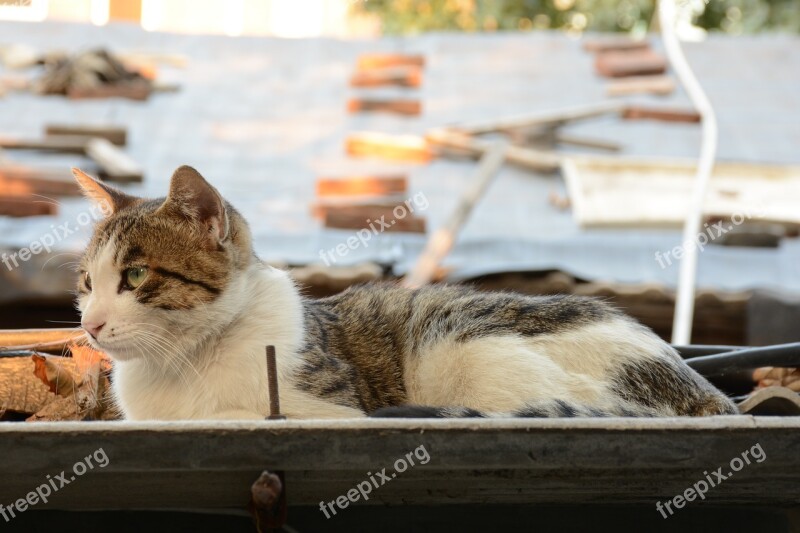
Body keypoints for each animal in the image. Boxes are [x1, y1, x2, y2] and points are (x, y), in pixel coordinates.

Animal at [73, 166, 736, 420]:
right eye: (86, 284)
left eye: (136, 277)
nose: (90, 325)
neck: (178, 366)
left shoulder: (334, 409)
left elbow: (242, 413)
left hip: (470, 348)